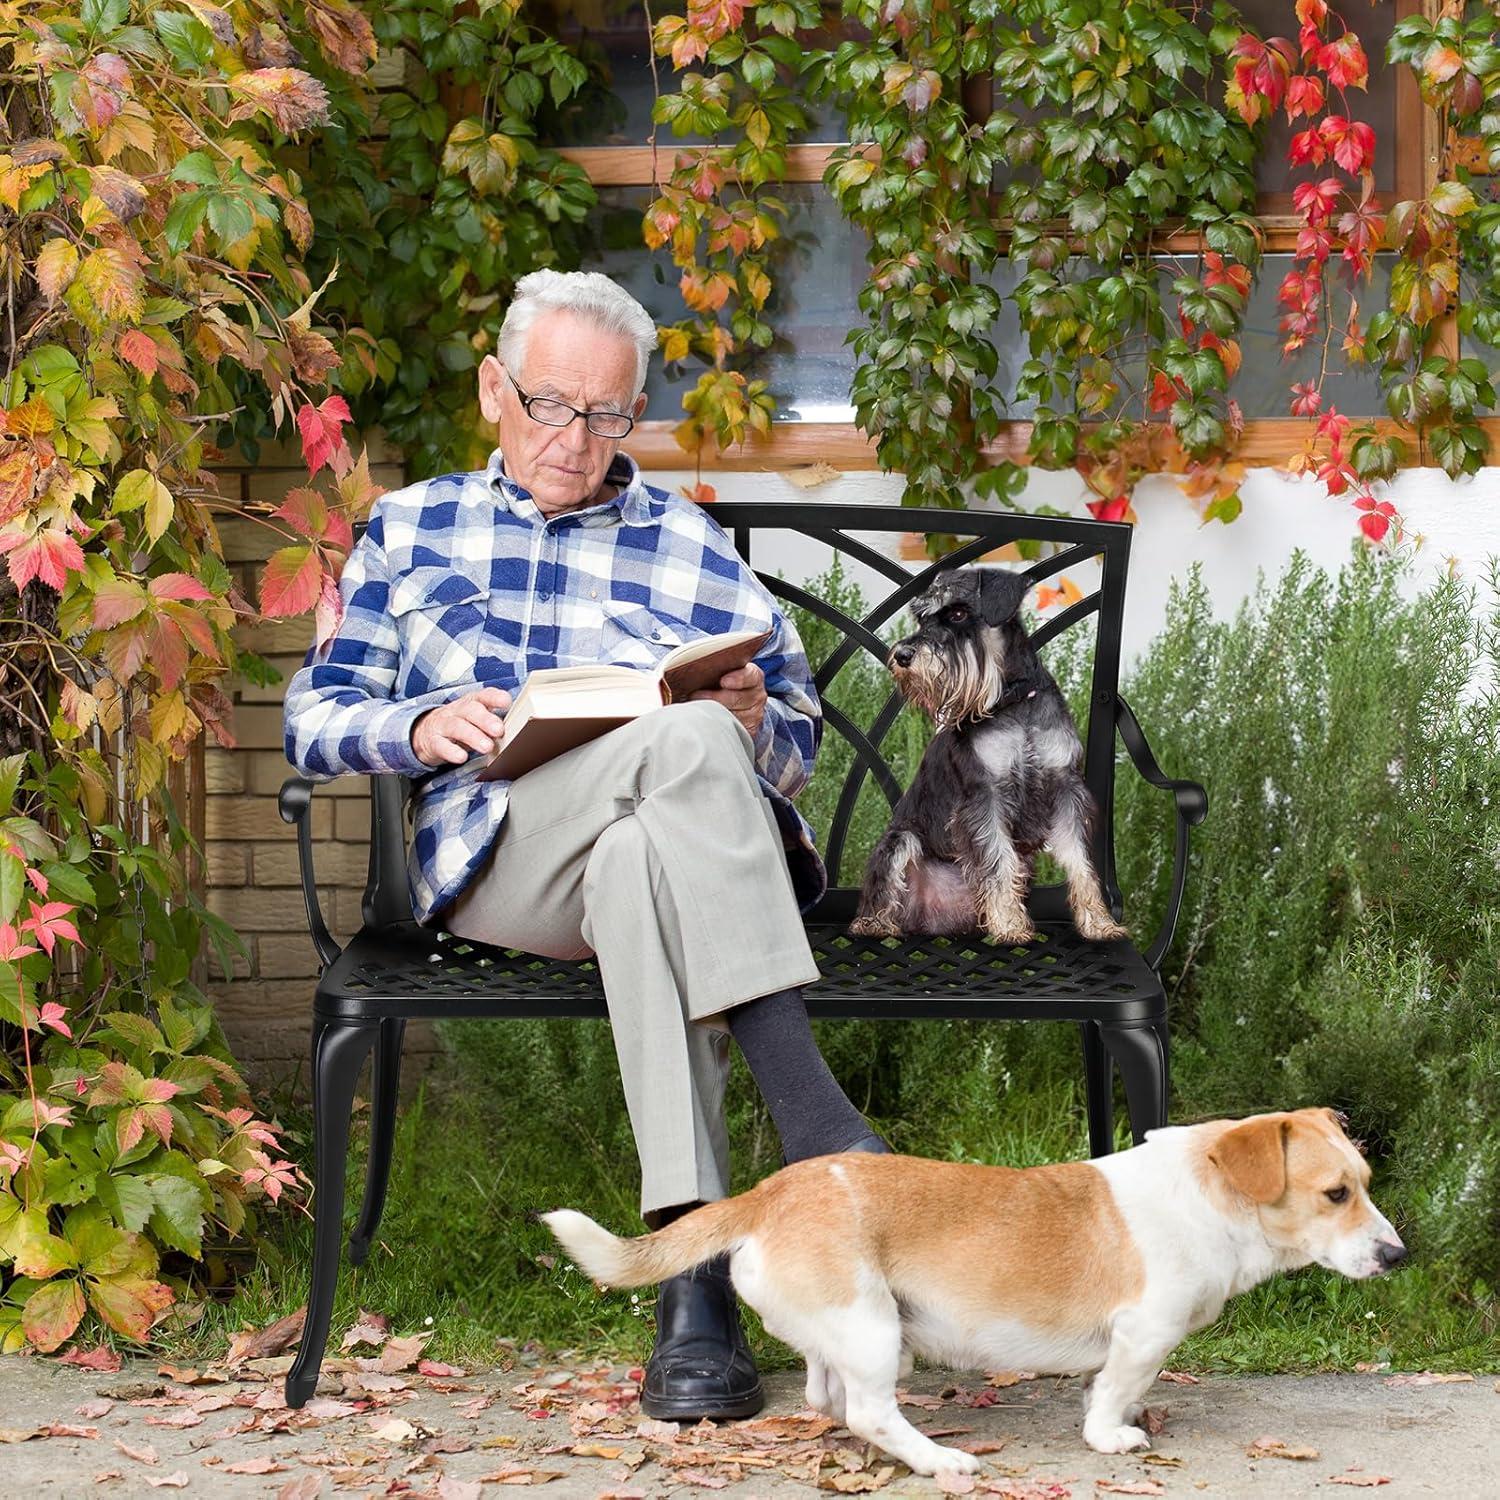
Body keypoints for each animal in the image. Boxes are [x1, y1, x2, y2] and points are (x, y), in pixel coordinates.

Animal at [552, 1116, 1404, 1476]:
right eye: (1335, 1194)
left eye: (1364, 1184)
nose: (1398, 1256)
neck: (1210, 1191)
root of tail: (766, 1196)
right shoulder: (1142, 1335)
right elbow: (1111, 1395)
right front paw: (1113, 1436)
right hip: (872, 1330)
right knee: (868, 1411)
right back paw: (940, 1461)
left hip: (853, 1331)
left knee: (829, 1398)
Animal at [858, 567, 1128, 942]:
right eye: (922, 617)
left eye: (958, 613)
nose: (903, 656)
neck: (1014, 699)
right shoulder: (985, 794)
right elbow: (997, 860)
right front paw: (1011, 926)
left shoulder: (1065, 787)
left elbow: (1080, 862)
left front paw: (1099, 922)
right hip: (901, 839)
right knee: (883, 888)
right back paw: (874, 923)